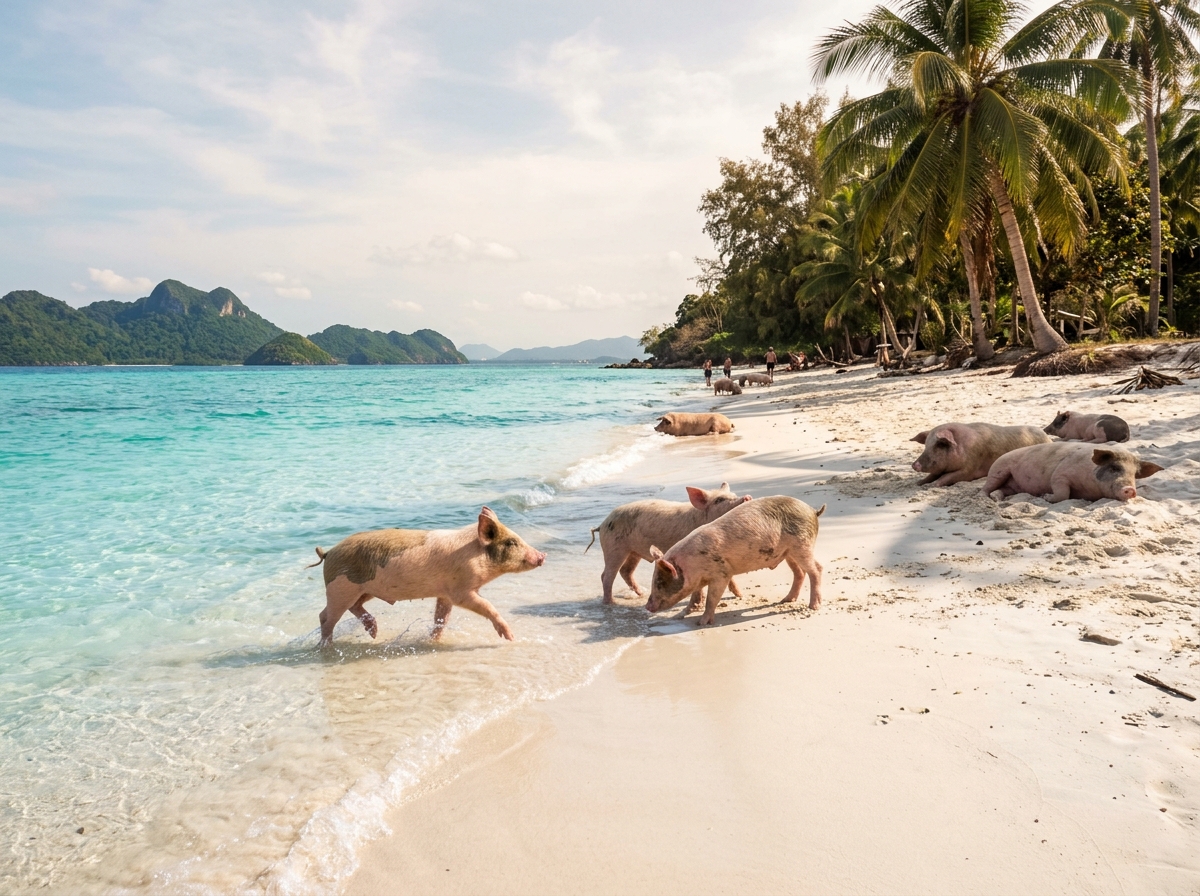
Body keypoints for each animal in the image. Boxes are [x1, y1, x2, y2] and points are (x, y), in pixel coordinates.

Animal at [308, 506, 545, 646]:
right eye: (511, 542)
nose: (543, 555)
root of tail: (329, 553)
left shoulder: (445, 594)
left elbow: (441, 618)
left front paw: (433, 641)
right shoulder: (461, 590)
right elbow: (487, 606)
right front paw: (511, 637)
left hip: (363, 589)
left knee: (345, 608)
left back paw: (373, 633)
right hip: (341, 587)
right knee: (327, 616)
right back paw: (325, 646)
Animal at [587, 483, 752, 604]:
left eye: (734, 495)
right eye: (719, 500)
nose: (747, 497)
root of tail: (602, 524)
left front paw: (740, 595)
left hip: (633, 552)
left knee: (626, 571)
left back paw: (641, 594)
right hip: (614, 548)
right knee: (607, 575)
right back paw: (611, 603)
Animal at [646, 495, 825, 625]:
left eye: (660, 582)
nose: (647, 606)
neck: (691, 564)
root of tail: (812, 510)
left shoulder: (721, 573)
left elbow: (712, 598)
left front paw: (701, 623)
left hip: (802, 545)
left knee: (816, 569)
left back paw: (813, 606)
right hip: (789, 552)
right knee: (799, 572)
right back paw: (786, 600)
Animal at [911, 422, 1050, 486]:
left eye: (940, 444)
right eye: (926, 445)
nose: (914, 465)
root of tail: (1047, 438)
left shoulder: (969, 469)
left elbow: (947, 477)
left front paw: (933, 485)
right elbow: (932, 475)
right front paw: (918, 483)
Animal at [983, 442, 1163, 503]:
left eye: (1134, 474)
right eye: (1114, 468)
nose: (1131, 489)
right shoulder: (1059, 475)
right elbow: (1063, 493)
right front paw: (1045, 497)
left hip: (1013, 486)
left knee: (1002, 490)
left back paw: (996, 498)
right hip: (998, 470)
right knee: (985, 488)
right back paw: (985, 498)